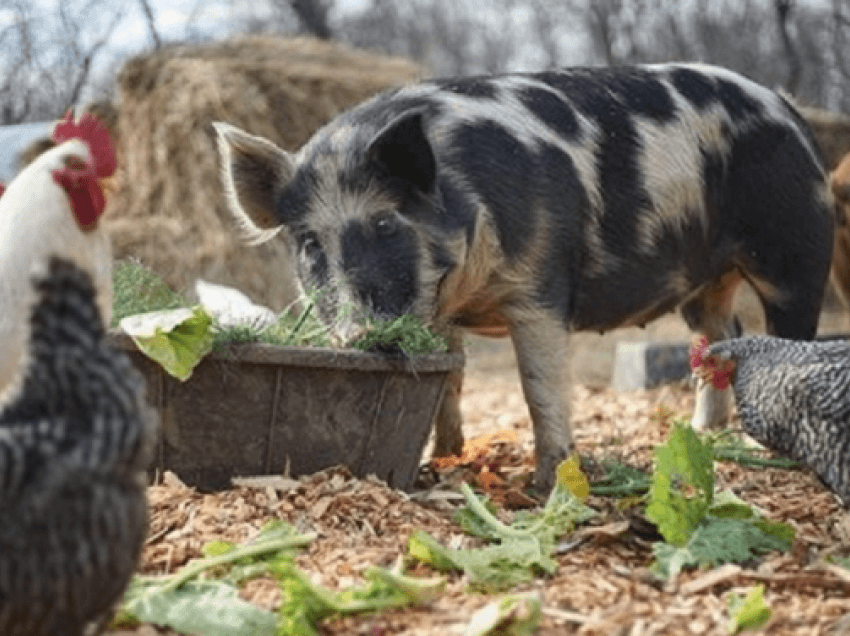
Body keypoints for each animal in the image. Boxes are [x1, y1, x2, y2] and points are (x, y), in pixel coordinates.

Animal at [215, 63, 832, 492]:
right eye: (309, 243)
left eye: (387, 223)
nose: (358, 335)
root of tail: (786, 106)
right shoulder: (441, 312)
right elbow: (450, 379)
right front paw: (443, 457)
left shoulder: (540, 286)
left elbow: (539, 385)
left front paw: (547, 484)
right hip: (705, 282)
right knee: (720, 337)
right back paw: (704, 433)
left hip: (795, 253)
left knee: (790, 340)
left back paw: (765, 450)